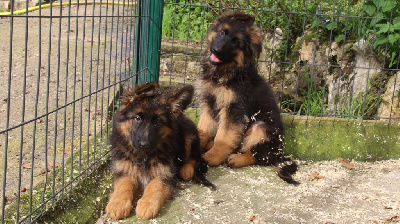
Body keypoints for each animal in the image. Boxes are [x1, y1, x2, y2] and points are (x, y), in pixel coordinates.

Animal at [104, 82, 214, 220]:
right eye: (137, 118)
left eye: (157, 121)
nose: (144, 145)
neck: (143, 156)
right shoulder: (124, 169)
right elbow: (123, 185)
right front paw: (118, 203)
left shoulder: (165, 174)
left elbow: (155, 185)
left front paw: (147, 204)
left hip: (189, 133)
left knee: (195, 156)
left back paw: (186, 169)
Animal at [195, 11, 298, 185]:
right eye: (222, 33)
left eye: (236, 43)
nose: (216, 50)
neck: (225, 72)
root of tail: (280, 155)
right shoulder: (210, 103)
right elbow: (204, 127)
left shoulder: (234, 109)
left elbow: (224, 137)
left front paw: (212, 157)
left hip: (261, 127)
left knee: (261, 156)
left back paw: (237, 159)